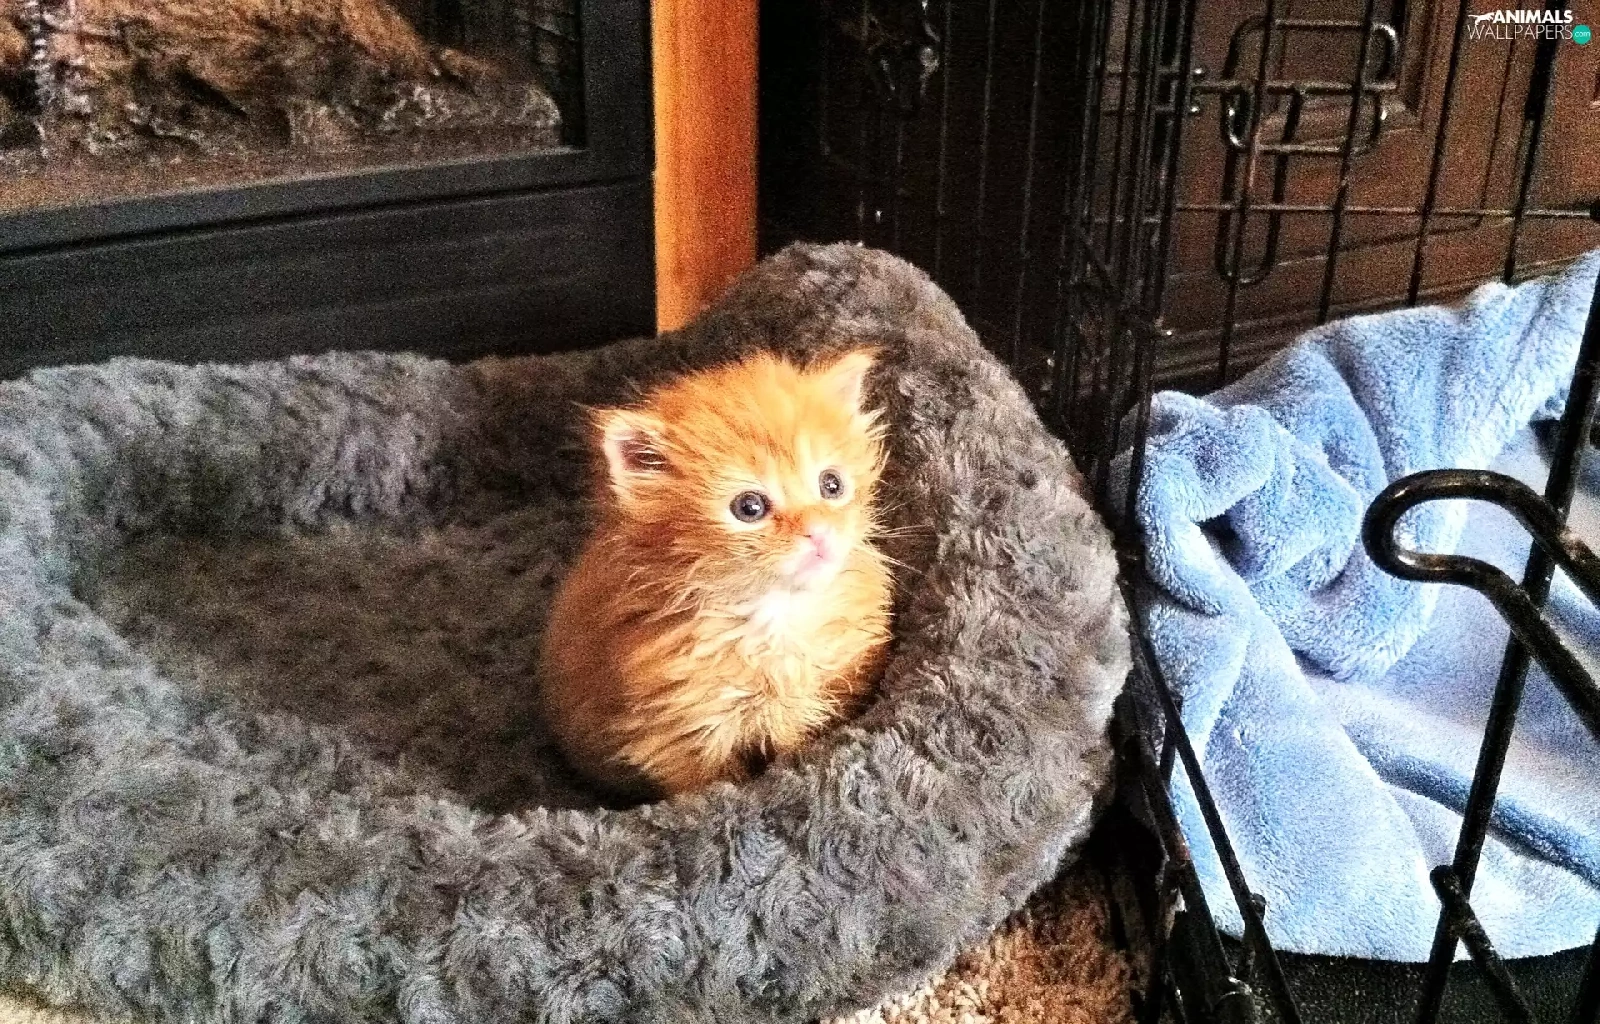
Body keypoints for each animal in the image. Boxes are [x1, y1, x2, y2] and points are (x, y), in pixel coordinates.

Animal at [539, 348, 894, 798]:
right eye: (750, 507)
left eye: (831, 484)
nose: (819, 532)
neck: (776, 615)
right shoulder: (680, 738)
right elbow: (716, 787)